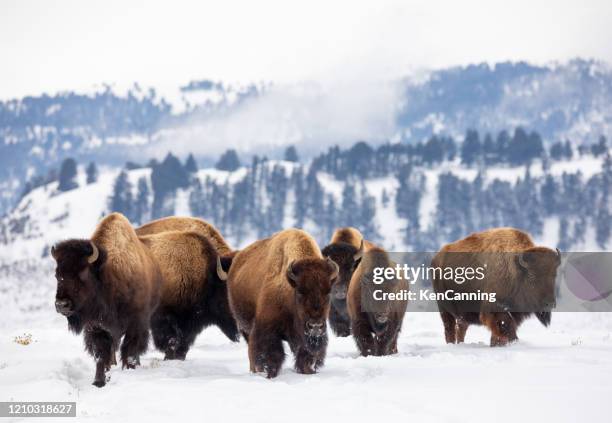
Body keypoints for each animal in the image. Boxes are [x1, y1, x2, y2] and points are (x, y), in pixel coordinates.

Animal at [52, 214, 161, 390]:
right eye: (57, 275)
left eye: (83, 272)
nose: (62, 305)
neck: (107, 275)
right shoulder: (96, 328)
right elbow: (101, 355)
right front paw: (98, 382)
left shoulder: (135, 324)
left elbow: (129, 350)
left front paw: (129, 369)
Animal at [227, 230, 340, 380]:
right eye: (300, 292)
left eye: (328, 292)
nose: (315, 326)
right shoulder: (267, 329)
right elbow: (273, 355)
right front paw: (270, 374)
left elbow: (305, 356)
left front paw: (308, 371)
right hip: (245, 327)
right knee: (252, 349)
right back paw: (255, 370)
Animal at [430, 229, 560, 348]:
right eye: (532, 276)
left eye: (554, 275)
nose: (549, 304)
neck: (516, 269)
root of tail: (436, 258)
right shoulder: (495, 307)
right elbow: (505, 324)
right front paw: (512, 342)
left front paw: (497, 344)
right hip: (444, 308)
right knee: (449, 328)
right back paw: (452, 344)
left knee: (461, 327)